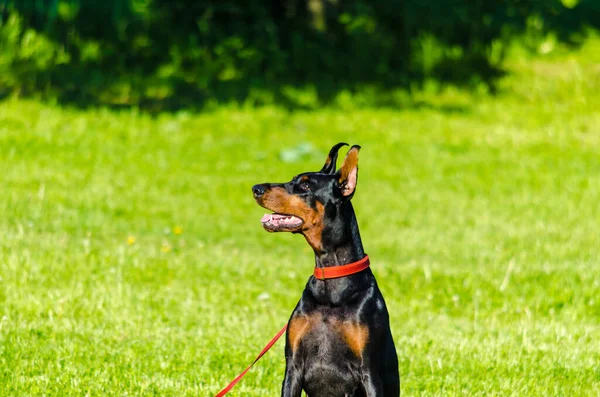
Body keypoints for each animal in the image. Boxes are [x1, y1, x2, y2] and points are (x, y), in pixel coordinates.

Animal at [252, 143, 398, 396]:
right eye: (293, 179)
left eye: (305, 186)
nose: (256, 189)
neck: (331, 279)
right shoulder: (293, 366)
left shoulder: (370, 372)